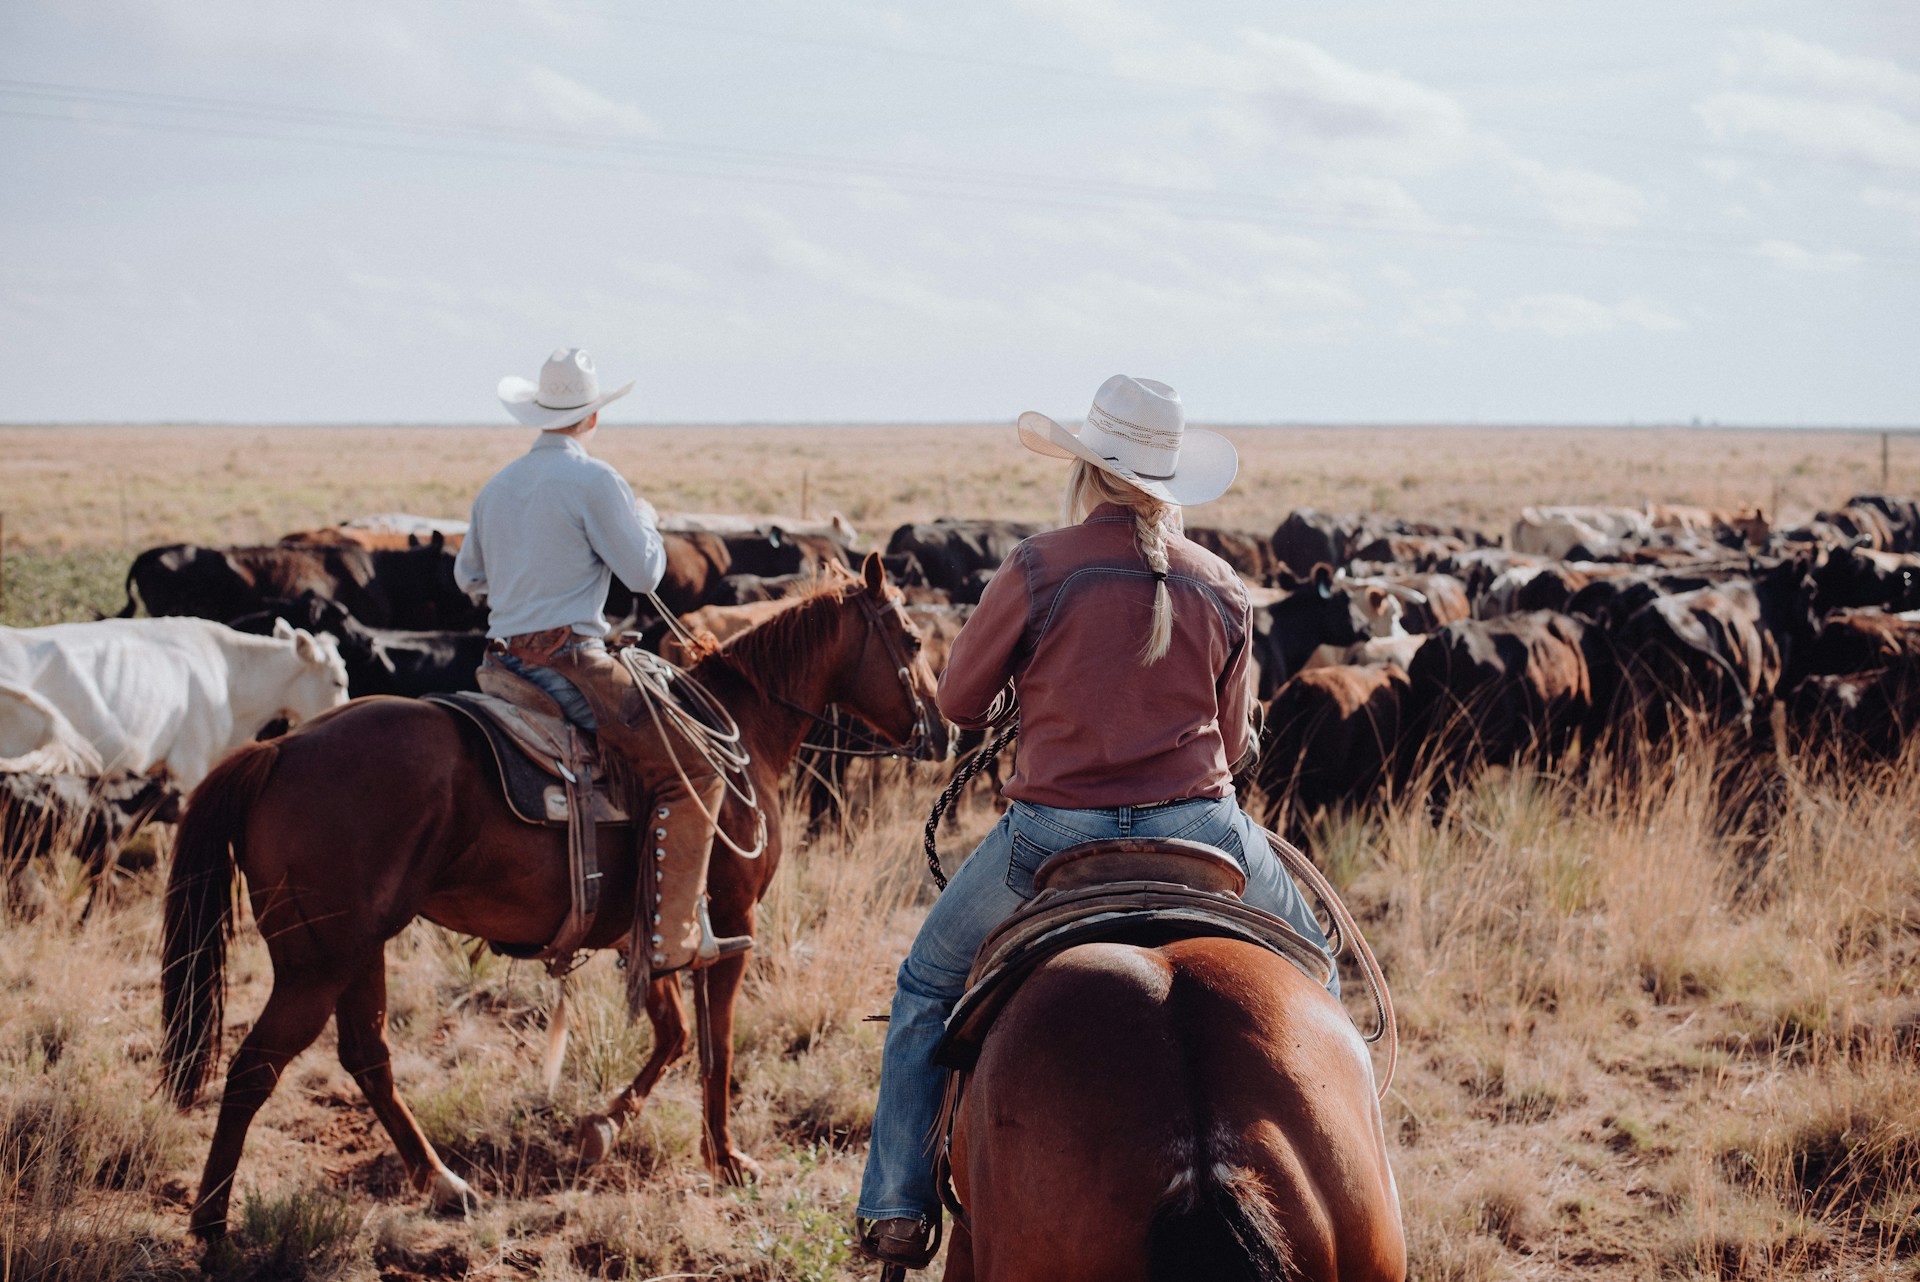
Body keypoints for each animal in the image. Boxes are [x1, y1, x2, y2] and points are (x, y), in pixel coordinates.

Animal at [163, 556, 944, 1243]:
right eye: (911, 639)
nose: (942, 729)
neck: (742, 733)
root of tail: (280, 751)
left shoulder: (645, 930)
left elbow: (672, 1033)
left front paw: (602, 1127)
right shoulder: (729, 918)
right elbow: (716, 1044)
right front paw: (725, 1159)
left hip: (359, 949)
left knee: (366, 1054)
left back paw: (443, 1183)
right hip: (316, 963)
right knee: (255, 1068)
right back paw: (211, 1225)